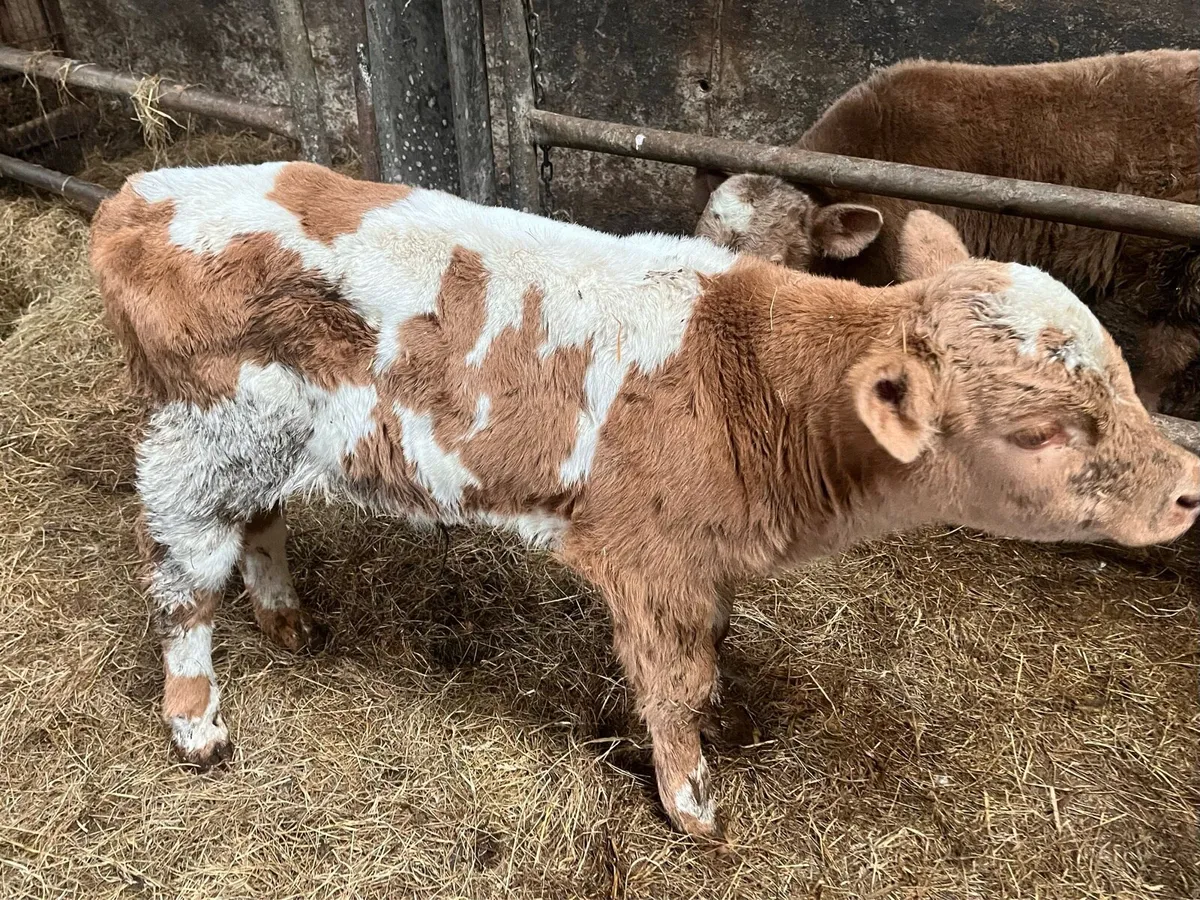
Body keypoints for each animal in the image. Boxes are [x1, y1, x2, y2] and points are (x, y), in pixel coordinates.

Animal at [90, 161, 1200, 841]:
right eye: (1042, 430)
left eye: (1124, 379)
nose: (1190, 490)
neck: (747, 375)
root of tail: (141, 192)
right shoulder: (648, 559)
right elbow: (674, 686)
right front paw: (692, 801)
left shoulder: (704, 563)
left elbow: (715, 647)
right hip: (195, 438)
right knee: (182, 584)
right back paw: (197, 725)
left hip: (264, 443)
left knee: (260, 525)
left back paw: (287, 619)